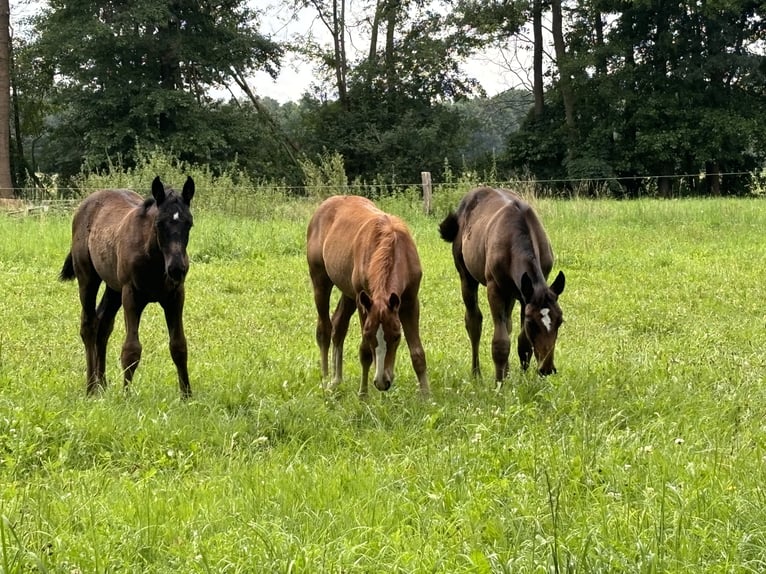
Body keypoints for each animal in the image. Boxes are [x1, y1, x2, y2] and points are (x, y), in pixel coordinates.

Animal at [61, 178, 196, 398]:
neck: (154, 258)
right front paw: (126, 395)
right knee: (89, 325)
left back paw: (102, 384)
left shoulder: (175, 296)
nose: (177, 269)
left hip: (113, 288)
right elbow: (131, 349)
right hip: (88, 279)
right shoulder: (131, 295)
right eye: (159, 223)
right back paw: (91, 388)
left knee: (103, 324)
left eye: (189, 223)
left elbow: (179, 346)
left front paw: (187, 396)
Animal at [440, 186, 568, 382]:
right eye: (532, 323)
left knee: (507, 324)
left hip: (512, 293)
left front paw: (522, 379)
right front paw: (499, 383)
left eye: (560, 321)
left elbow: (523, 342)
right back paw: (476, 374)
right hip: (467, 278)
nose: (547, 369)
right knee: (474, 321)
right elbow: (500, 342)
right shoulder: (496, 289)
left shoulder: (525, 294)